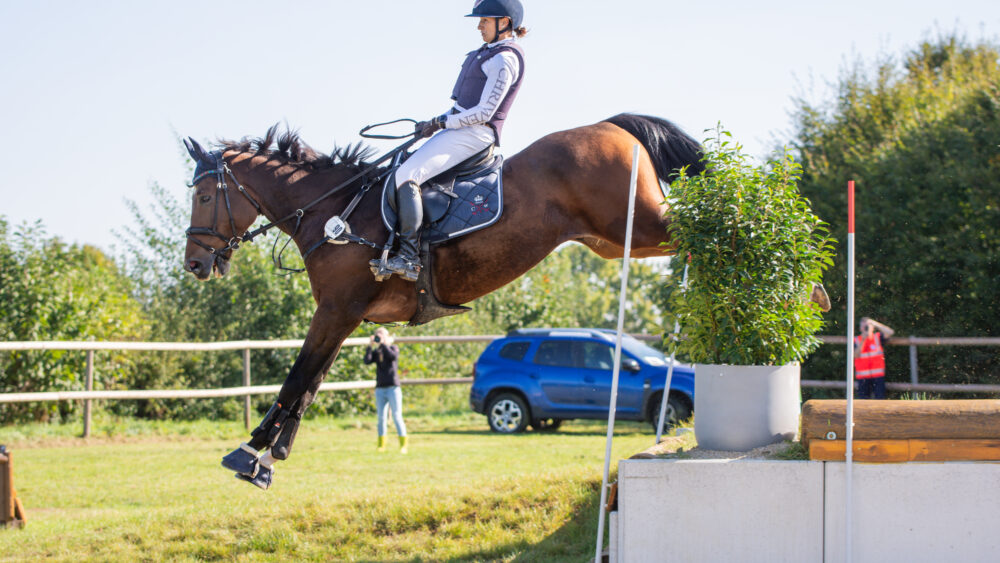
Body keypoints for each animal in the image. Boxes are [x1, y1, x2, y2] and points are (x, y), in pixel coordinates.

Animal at [183, 113, 704, 489]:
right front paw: (271, 458)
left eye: (205, 196)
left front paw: (250, 452)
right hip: (615, 241)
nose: (194, 265)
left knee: (703, 228)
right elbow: (310, 384)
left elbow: (297, 379)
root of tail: (614, 126)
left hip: (641, 224)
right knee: (687, 239)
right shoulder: (344, 315)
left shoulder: (336, 310)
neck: (333, 212)